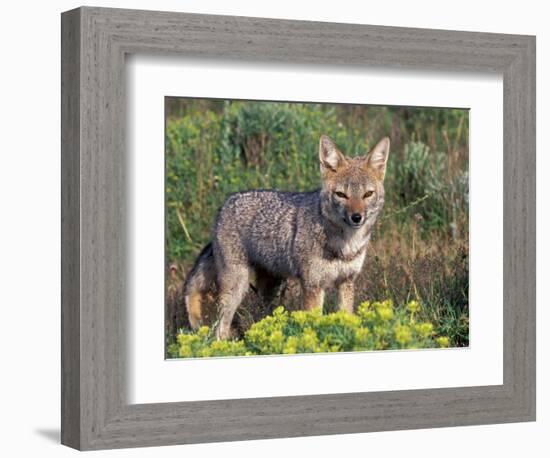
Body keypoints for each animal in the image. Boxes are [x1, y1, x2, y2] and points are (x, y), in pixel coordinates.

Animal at [185, 134, 392, 338]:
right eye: (341, 194)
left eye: (367, 194)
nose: (357, 217)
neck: (346, 245)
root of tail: (225, 204)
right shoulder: (312, 286)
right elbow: (314, 322)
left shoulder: (346, 281)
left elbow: (347, 318)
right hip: (236, 286)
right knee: (220, 327)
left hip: (271, 287)